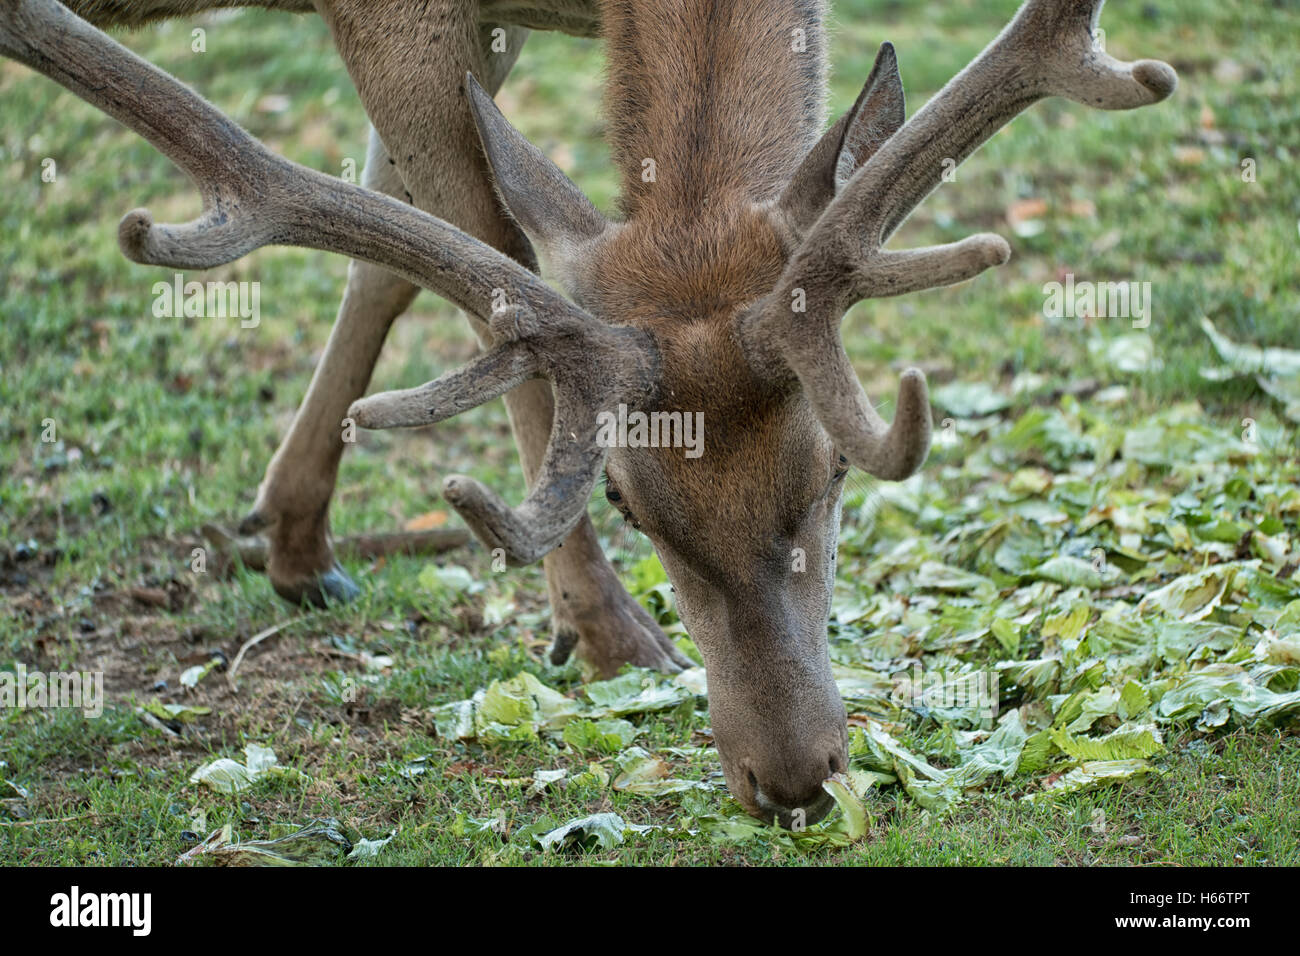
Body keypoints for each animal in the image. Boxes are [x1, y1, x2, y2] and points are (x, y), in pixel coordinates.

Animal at [1, 0, 1176, 827]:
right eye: (620, 497)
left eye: (837, 470)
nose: (796, 779)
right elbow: (491, 277)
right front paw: (607, 639)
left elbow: (399, 250)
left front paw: (295, 533)